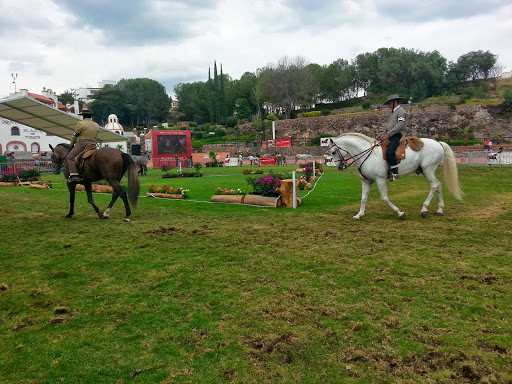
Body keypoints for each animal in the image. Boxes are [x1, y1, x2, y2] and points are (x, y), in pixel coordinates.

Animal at [330, 134, 462, 220]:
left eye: (333, 152)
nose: (339, 167)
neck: (368, 154)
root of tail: (438, 143)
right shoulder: (366, 181)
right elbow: (363, 199)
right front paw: (359, 215)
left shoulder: (380, 180)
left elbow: (384, 198)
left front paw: (400, 213)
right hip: (427, 171)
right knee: (438, 185)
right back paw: (440, 210)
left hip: (428, 170)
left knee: (434, 185)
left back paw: (424, 210)